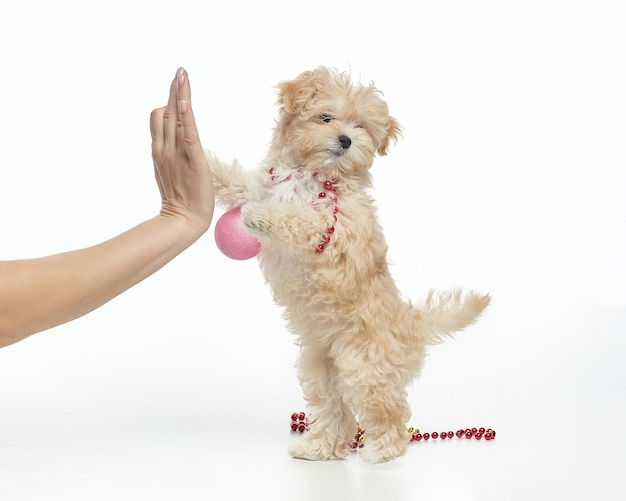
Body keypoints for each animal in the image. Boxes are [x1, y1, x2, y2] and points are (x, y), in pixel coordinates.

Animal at [207, 67, 490, 464]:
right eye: (326, 117)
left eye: (361, 127)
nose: (345, 140)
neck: (312, 173)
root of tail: (410, 324)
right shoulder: (260, 185)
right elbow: (232, 179)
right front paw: (191, 158)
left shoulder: (329, 232)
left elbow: (296, 221)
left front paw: (260, 216)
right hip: (321, 367)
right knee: (334, 412)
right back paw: (317, 447)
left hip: (364, 366)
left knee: (390, 411)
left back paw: (381, 451)